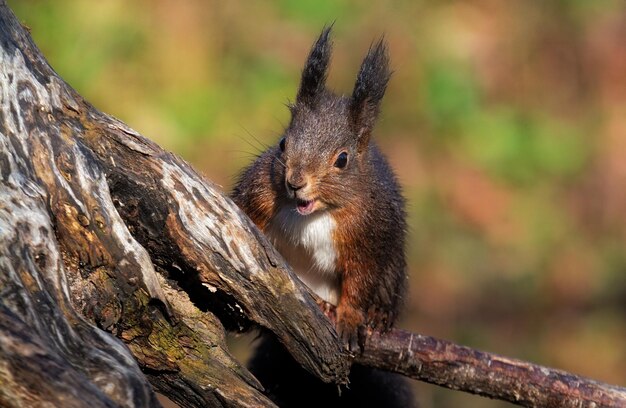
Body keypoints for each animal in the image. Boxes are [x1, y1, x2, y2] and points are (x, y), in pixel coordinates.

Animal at [232, 27, 412, 406]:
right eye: (283, 143)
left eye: (342, 159)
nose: (295, 182)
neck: (314, 212)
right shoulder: (257, 195)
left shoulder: (368, 234)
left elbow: (361, 278)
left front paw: (350, 318)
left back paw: (377, 315)